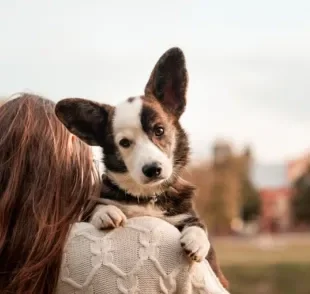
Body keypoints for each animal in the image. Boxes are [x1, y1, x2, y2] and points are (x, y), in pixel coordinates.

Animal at [55, 47, 229, 288]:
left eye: (159, 130)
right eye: (124, 143)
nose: (152, 169)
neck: (147, 196)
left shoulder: (187, 216)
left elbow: (199, 225)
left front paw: (197, 241)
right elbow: (96, 206)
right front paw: (106, 212)